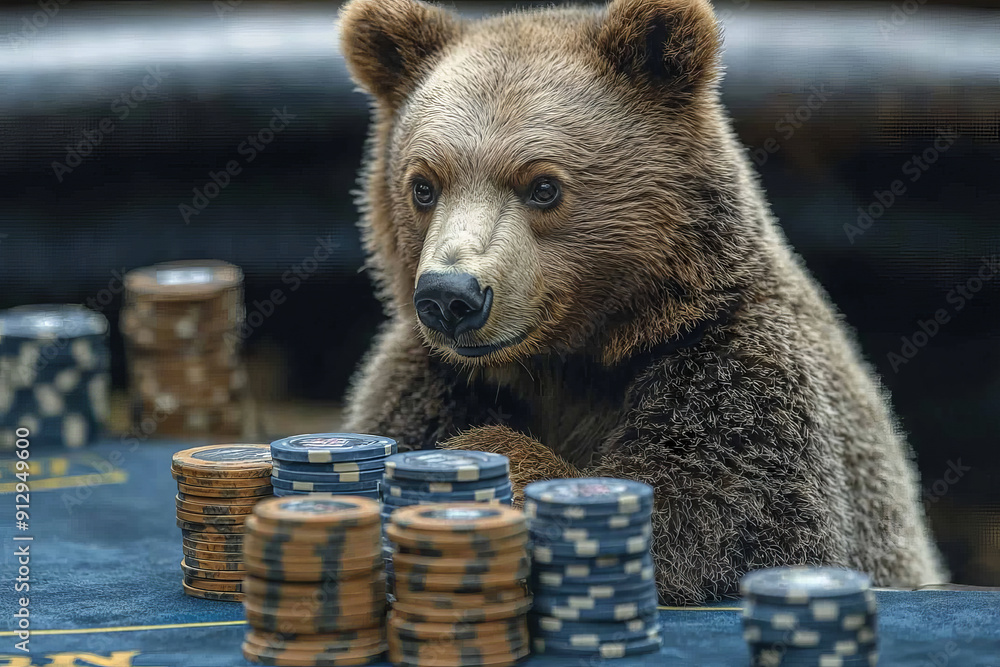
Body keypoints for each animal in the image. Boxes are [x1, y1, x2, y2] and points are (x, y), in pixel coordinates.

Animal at [337, 0, 945, 604]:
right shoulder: (429, 381)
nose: (451, 296)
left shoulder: (735, 372)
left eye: (543, 187)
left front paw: (492, 458)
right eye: (423, 185)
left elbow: (721, 522)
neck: (570, 359)